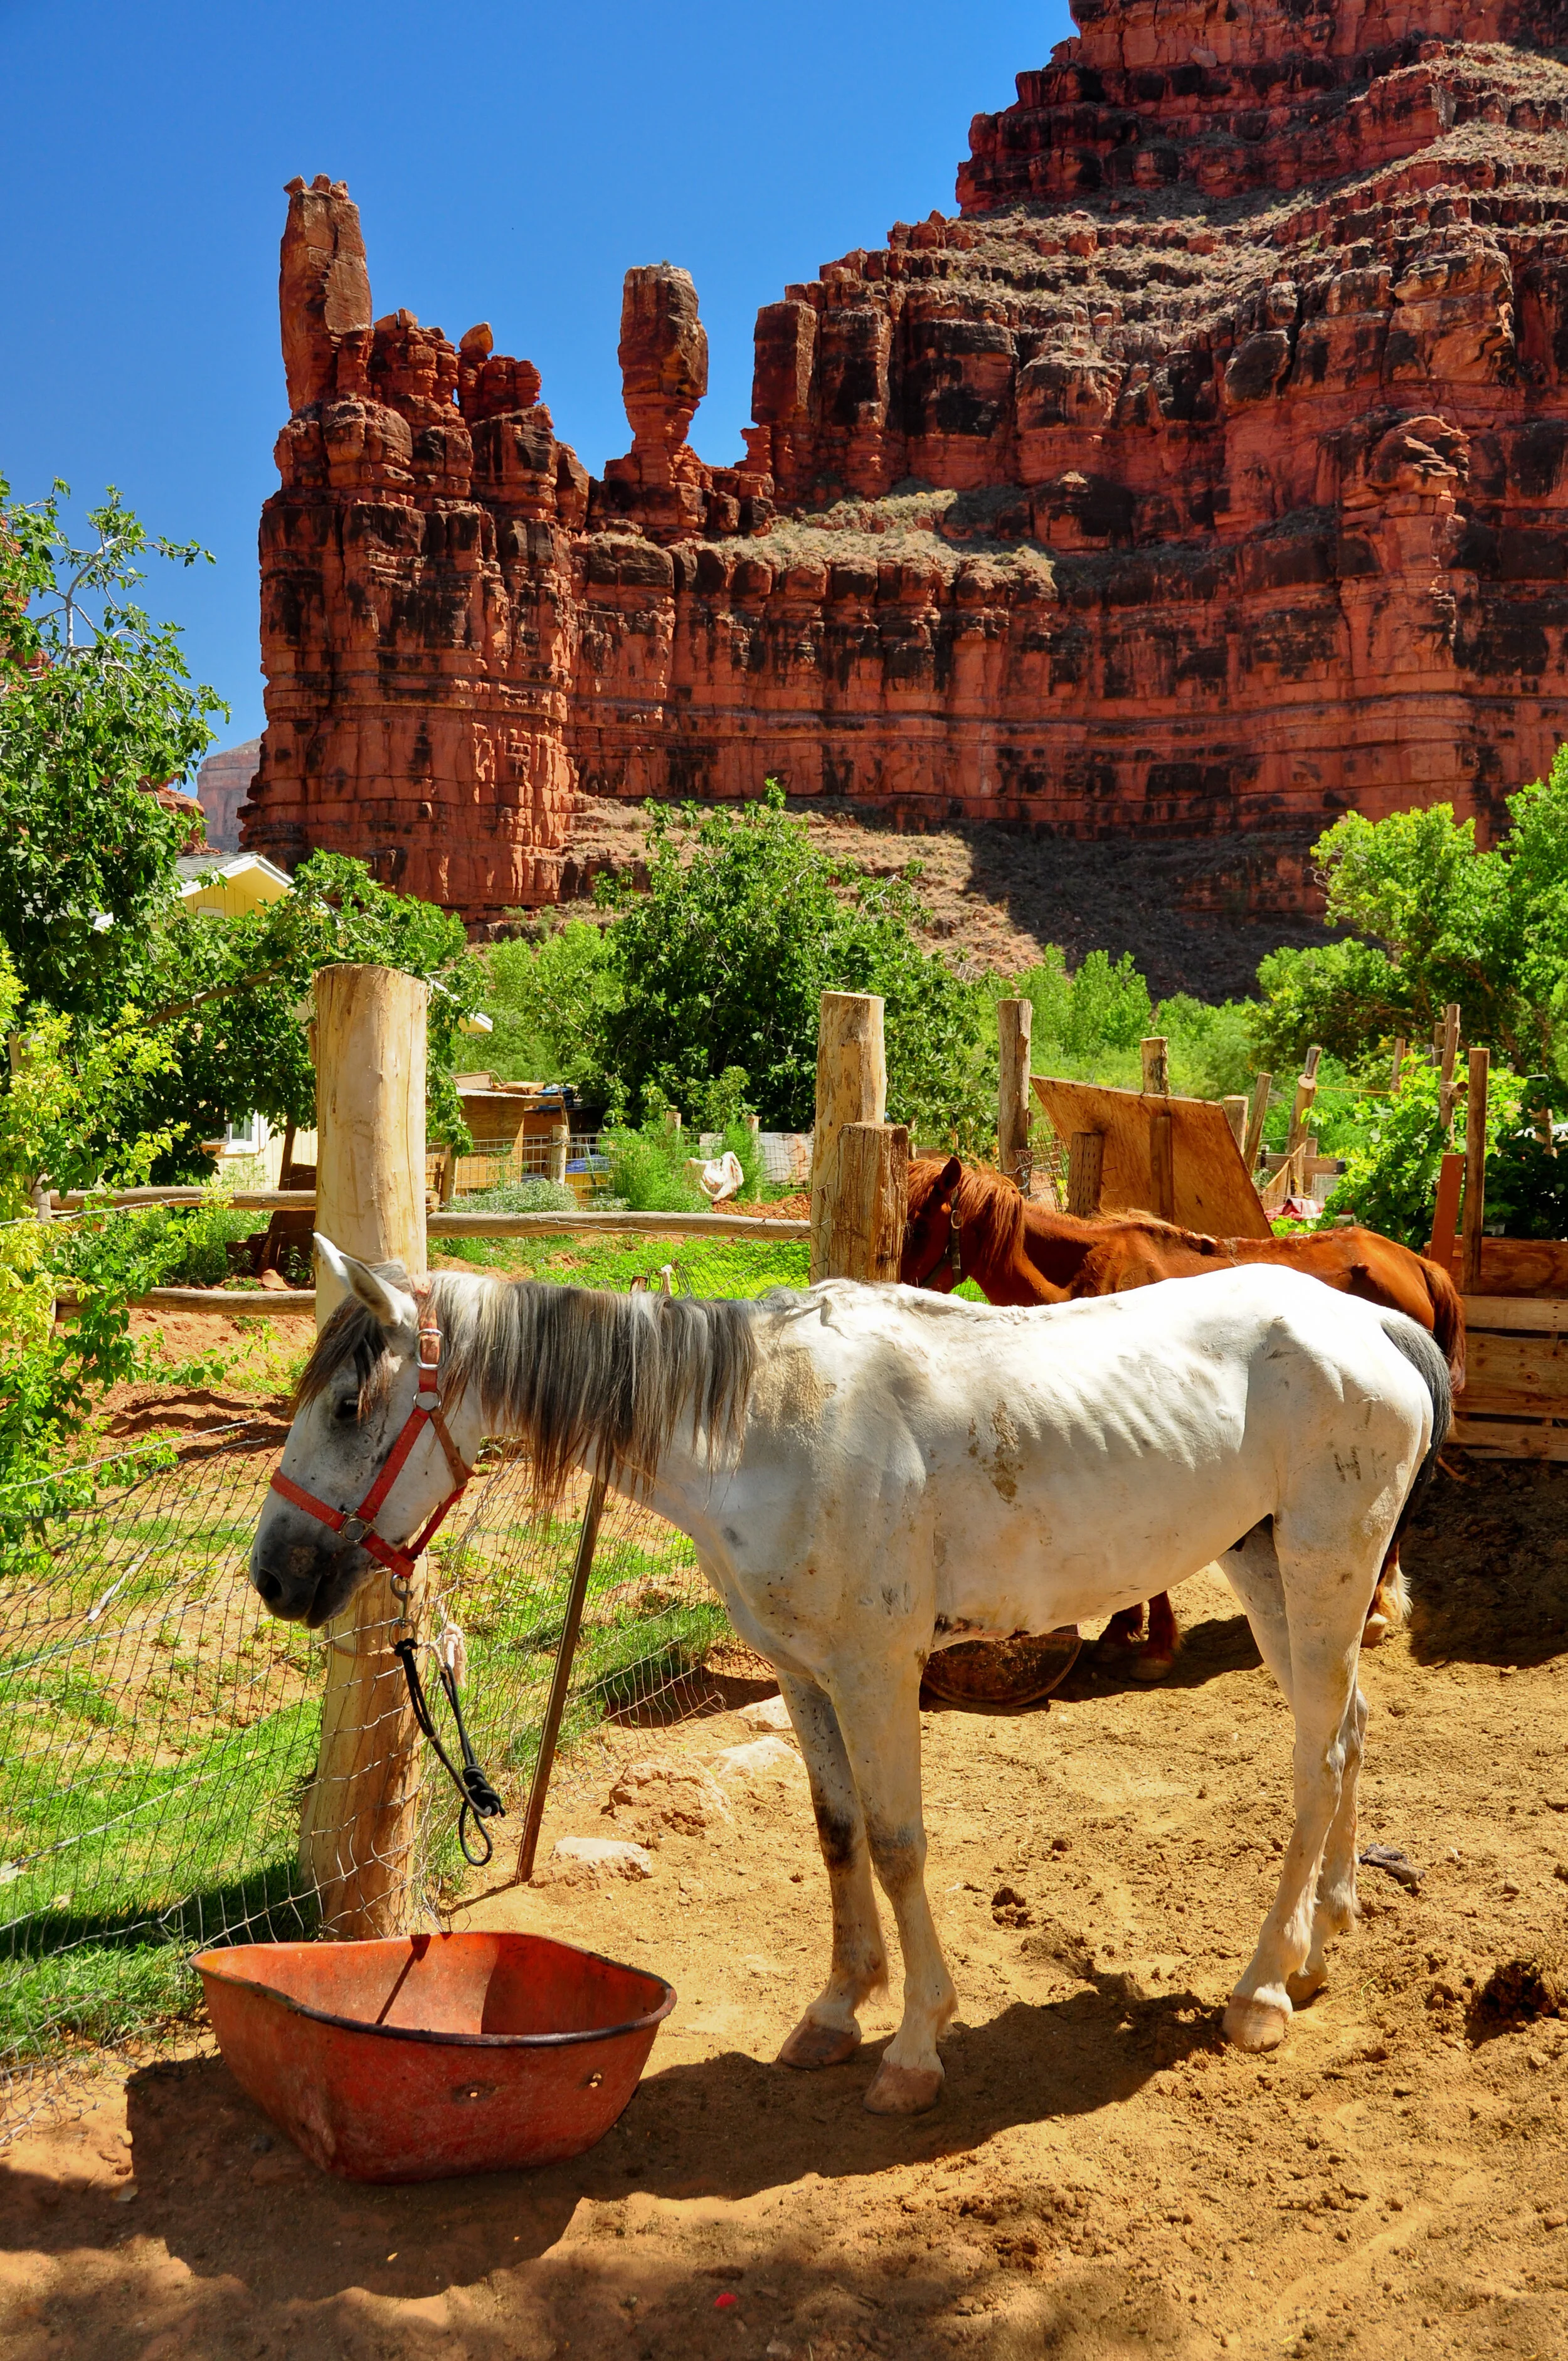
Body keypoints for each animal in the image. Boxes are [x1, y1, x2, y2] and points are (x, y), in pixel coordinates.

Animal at [250, 1236, 1448, 2115]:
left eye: (349, 1405)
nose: (275, 1573)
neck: (759, 1423)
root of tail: (1371, 1322)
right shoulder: (805, 1674)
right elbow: (837, 1835)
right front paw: (836, 2010)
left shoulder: (878, 1673)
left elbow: (899, 1842)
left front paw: (915, 2046)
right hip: (1265, 1565)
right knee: (1345, 1730)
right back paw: (1324, 1940)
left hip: (1324, 1567)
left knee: (1313, 1759)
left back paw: (1262, 1990)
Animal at [902, 1156, 1465, 1675]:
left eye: (922, 1225)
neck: (1083, 1280)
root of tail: (1419, 1266)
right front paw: (1126, 1628)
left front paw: (1154, 1643)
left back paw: (1372, 1614)